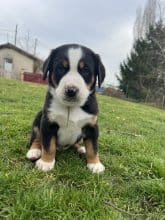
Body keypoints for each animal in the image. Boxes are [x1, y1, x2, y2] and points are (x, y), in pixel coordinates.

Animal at [26, 43, 105, 173]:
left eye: (85, 70)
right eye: (60, 68)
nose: (71, 90)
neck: (70, 107)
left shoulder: (92, 126)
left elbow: (93, 147)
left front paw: (95, 164)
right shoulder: (48, 123)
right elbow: (48, 145)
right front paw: (46, 162)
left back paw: (81, 148)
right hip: (39, 118)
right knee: (36, 138)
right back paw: (34, 151)